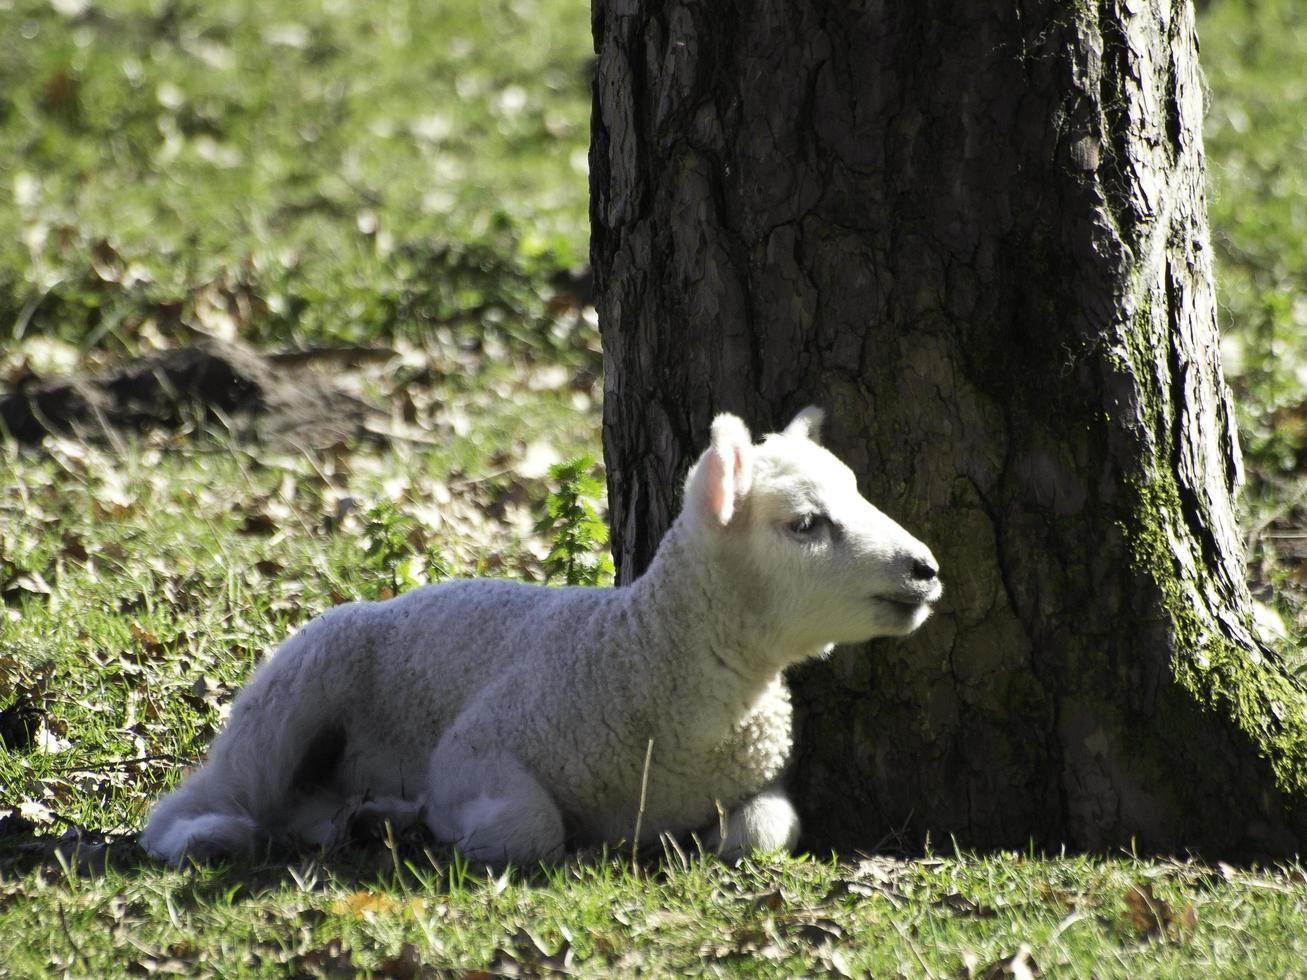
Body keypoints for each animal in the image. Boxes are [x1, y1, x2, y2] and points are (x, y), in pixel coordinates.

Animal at [140, 407, 941, 867]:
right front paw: (456, 830)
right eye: (804, 524)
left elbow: (769, 831)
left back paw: (367, 819)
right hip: (294, 687)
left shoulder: (753, 778)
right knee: (219, 790)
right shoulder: (475, 749)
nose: (926, 569)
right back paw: (207, 838)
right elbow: (532, 828)